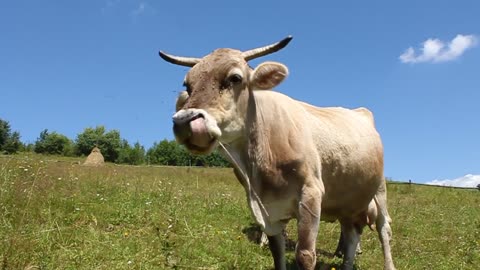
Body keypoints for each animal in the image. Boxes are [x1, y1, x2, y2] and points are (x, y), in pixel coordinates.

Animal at [159, 36, 396, 270]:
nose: (184, 121)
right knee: (351, 234)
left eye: (235, 78)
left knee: (383, 228)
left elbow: (305, 255)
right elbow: (276, 251)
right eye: (187, 85)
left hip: (379, 189)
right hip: (348, 201)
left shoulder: (311, 193)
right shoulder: (267, 208)